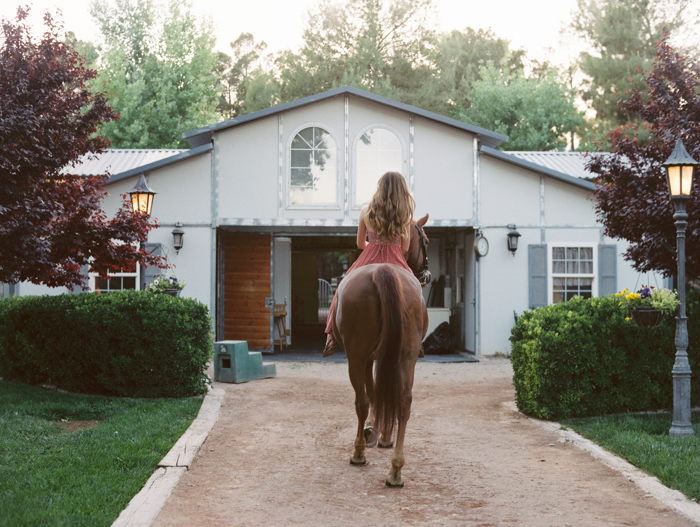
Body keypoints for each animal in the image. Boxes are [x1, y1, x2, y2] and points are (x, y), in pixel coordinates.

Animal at [330, 212, 430, 484]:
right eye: (427, 240)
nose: (427, 274)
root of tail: (383, 270)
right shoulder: (382, 357)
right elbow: (384, 392)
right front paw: (384, 436)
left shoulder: (366, 358)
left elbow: (373, 393)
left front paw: (374, 434)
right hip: (406, 356)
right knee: (404, 401)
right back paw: (396, 470)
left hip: (356, 356)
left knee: (362, 401)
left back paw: (358, 452)